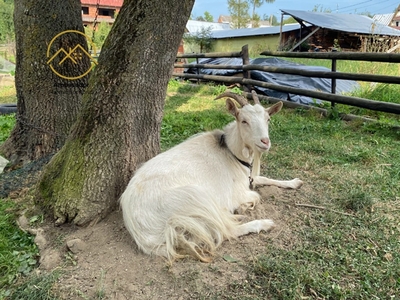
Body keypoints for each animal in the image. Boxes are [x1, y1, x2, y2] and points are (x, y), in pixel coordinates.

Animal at [120, 91, 302, 262]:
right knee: (227, 230)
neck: (230, 152)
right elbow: (256, 196)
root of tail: (143, 237)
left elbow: (264, 178)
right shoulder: (237, 193)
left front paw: (294, 182)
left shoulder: (248, 177)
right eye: (244, 121)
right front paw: (244, 207)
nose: (265, 142)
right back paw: (263, 223)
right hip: (195, 197)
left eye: (268, 119)